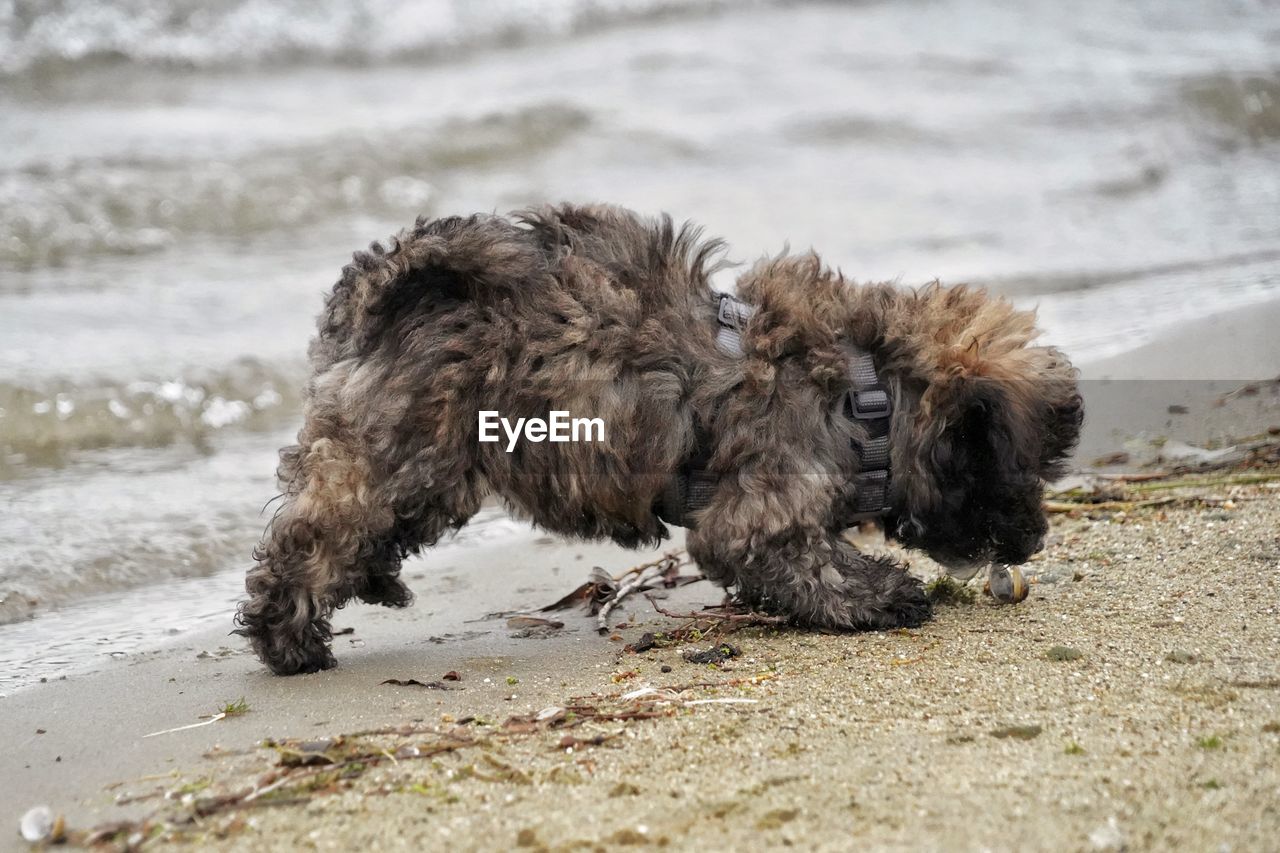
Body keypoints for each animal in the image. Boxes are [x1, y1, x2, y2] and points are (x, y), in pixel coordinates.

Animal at [238, 204, 1080, 671]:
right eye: (1023, 469)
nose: (1036, 540)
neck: (867, 385)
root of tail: (387, 285)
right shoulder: (758, 514)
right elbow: (816, 564)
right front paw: (887, 592)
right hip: (404, 455)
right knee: (310, 537)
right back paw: (290, 641)